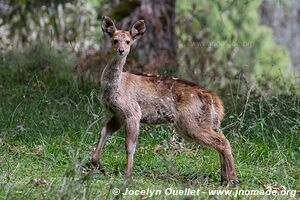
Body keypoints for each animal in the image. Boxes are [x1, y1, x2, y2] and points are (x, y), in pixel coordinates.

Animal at [91, 16, 239, 187]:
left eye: (128, 41)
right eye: (115, 40)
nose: (121, 50)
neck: (116, 86)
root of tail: (214, 99)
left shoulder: (132, 112)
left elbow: (130, 145)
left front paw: (127, 175)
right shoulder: (118, 115)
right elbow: (103, 131)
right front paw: (98, 164)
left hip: (190, 122)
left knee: (222, 141)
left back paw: (233, 179)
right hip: (208, 121)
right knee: (221, 138)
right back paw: (224, 179)